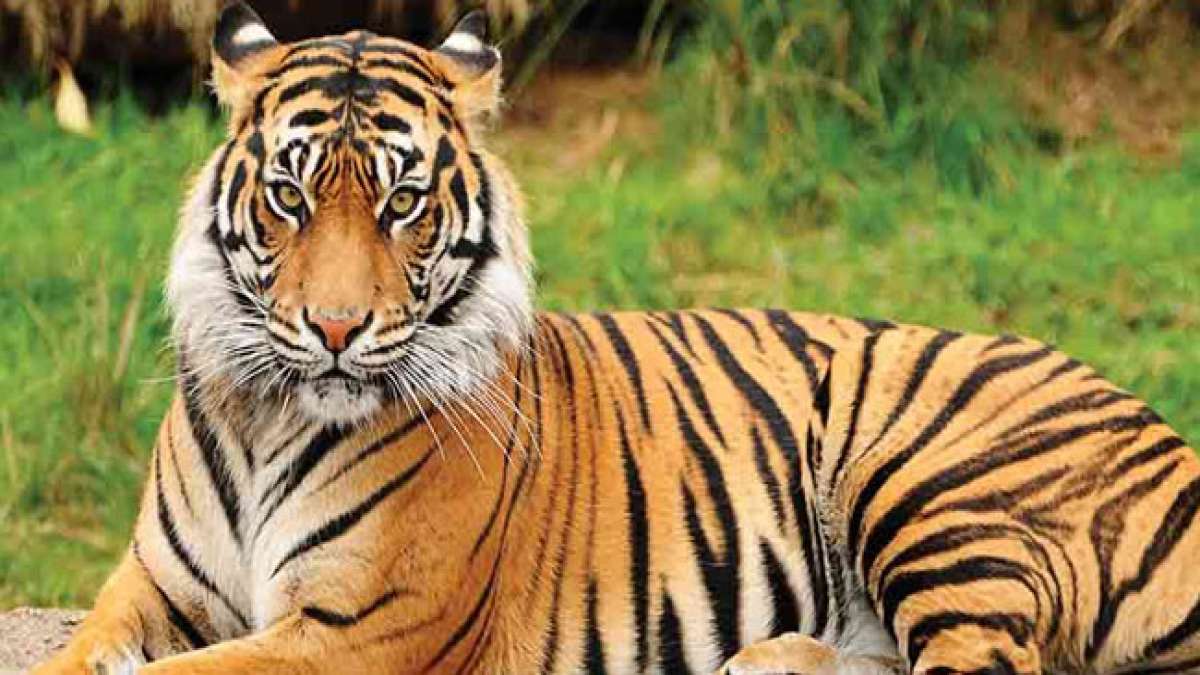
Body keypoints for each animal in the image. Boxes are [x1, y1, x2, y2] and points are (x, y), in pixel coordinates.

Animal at [34, 3, 1200, 674]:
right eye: (290, 195)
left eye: (403, 203)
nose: (332, 329)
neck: (268, 414)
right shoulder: (151, 587)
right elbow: (82, 658)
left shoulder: (358, 629)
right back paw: (773, 660)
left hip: (929, 476)